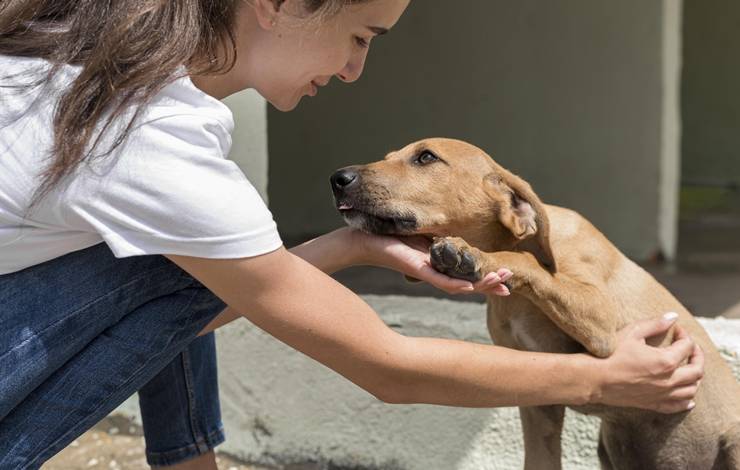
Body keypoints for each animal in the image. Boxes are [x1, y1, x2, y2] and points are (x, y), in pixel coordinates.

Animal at [330, 138, 740, 470]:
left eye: (426, 157)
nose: (338, 178)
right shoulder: (539, 401)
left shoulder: (603, 323)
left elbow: (527, 264)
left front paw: (472, 257)